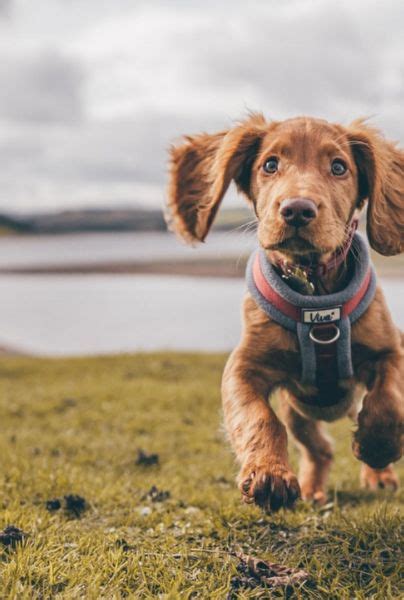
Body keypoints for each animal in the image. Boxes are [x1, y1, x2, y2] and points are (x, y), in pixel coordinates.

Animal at [166, 116, 402, 510]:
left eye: (339, 167)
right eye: (270, 164)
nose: (296, 210)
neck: (315, 293)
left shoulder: (392, 349)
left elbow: (388, 400)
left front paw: (377, 448)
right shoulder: (243, 368)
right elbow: (258, 418)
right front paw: (268, 474)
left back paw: (379, 476)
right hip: (298, 412)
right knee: (320, 449)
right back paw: (312, 489)